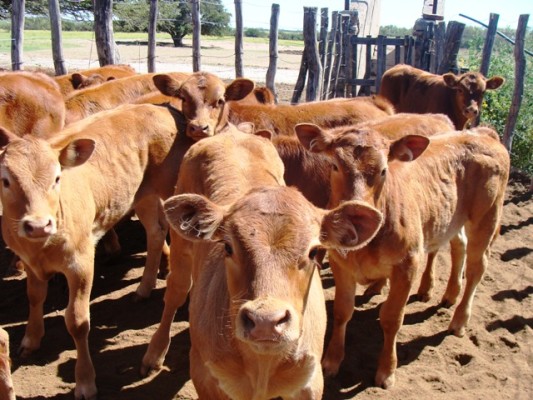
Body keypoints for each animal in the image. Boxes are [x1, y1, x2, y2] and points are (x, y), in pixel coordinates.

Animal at [0, 104, 195, 400]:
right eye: (5, 181)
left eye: (57, 178)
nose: (38, 225)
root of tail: (163, 107)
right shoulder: (28, 261)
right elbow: (34, 296)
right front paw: (31, 339)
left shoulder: (81, 262)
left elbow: (77, 321)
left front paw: (85, 382)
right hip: (141, 195)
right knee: (155, 232)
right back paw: (144, 287)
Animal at [141, 130, 382, 398]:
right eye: (227, 247)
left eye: (314, 251)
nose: (265, 322)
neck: (262, 366)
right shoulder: (204, 377)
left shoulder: (310, 382)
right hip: (181, 248)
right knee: (176, 291)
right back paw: (154, 353)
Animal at [298, 124, 510, 388]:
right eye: (335, 166)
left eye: (383, 170)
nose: (357, 211)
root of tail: (482, 132)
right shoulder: (341, 263)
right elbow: (341, 311)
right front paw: (332, 361)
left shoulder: (408, 264)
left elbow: (391, 318)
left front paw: (387, 371)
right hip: (454, 219)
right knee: (458, 245)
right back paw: (450, 294)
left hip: (486, 218)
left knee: (476, 269)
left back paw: (459, 320)